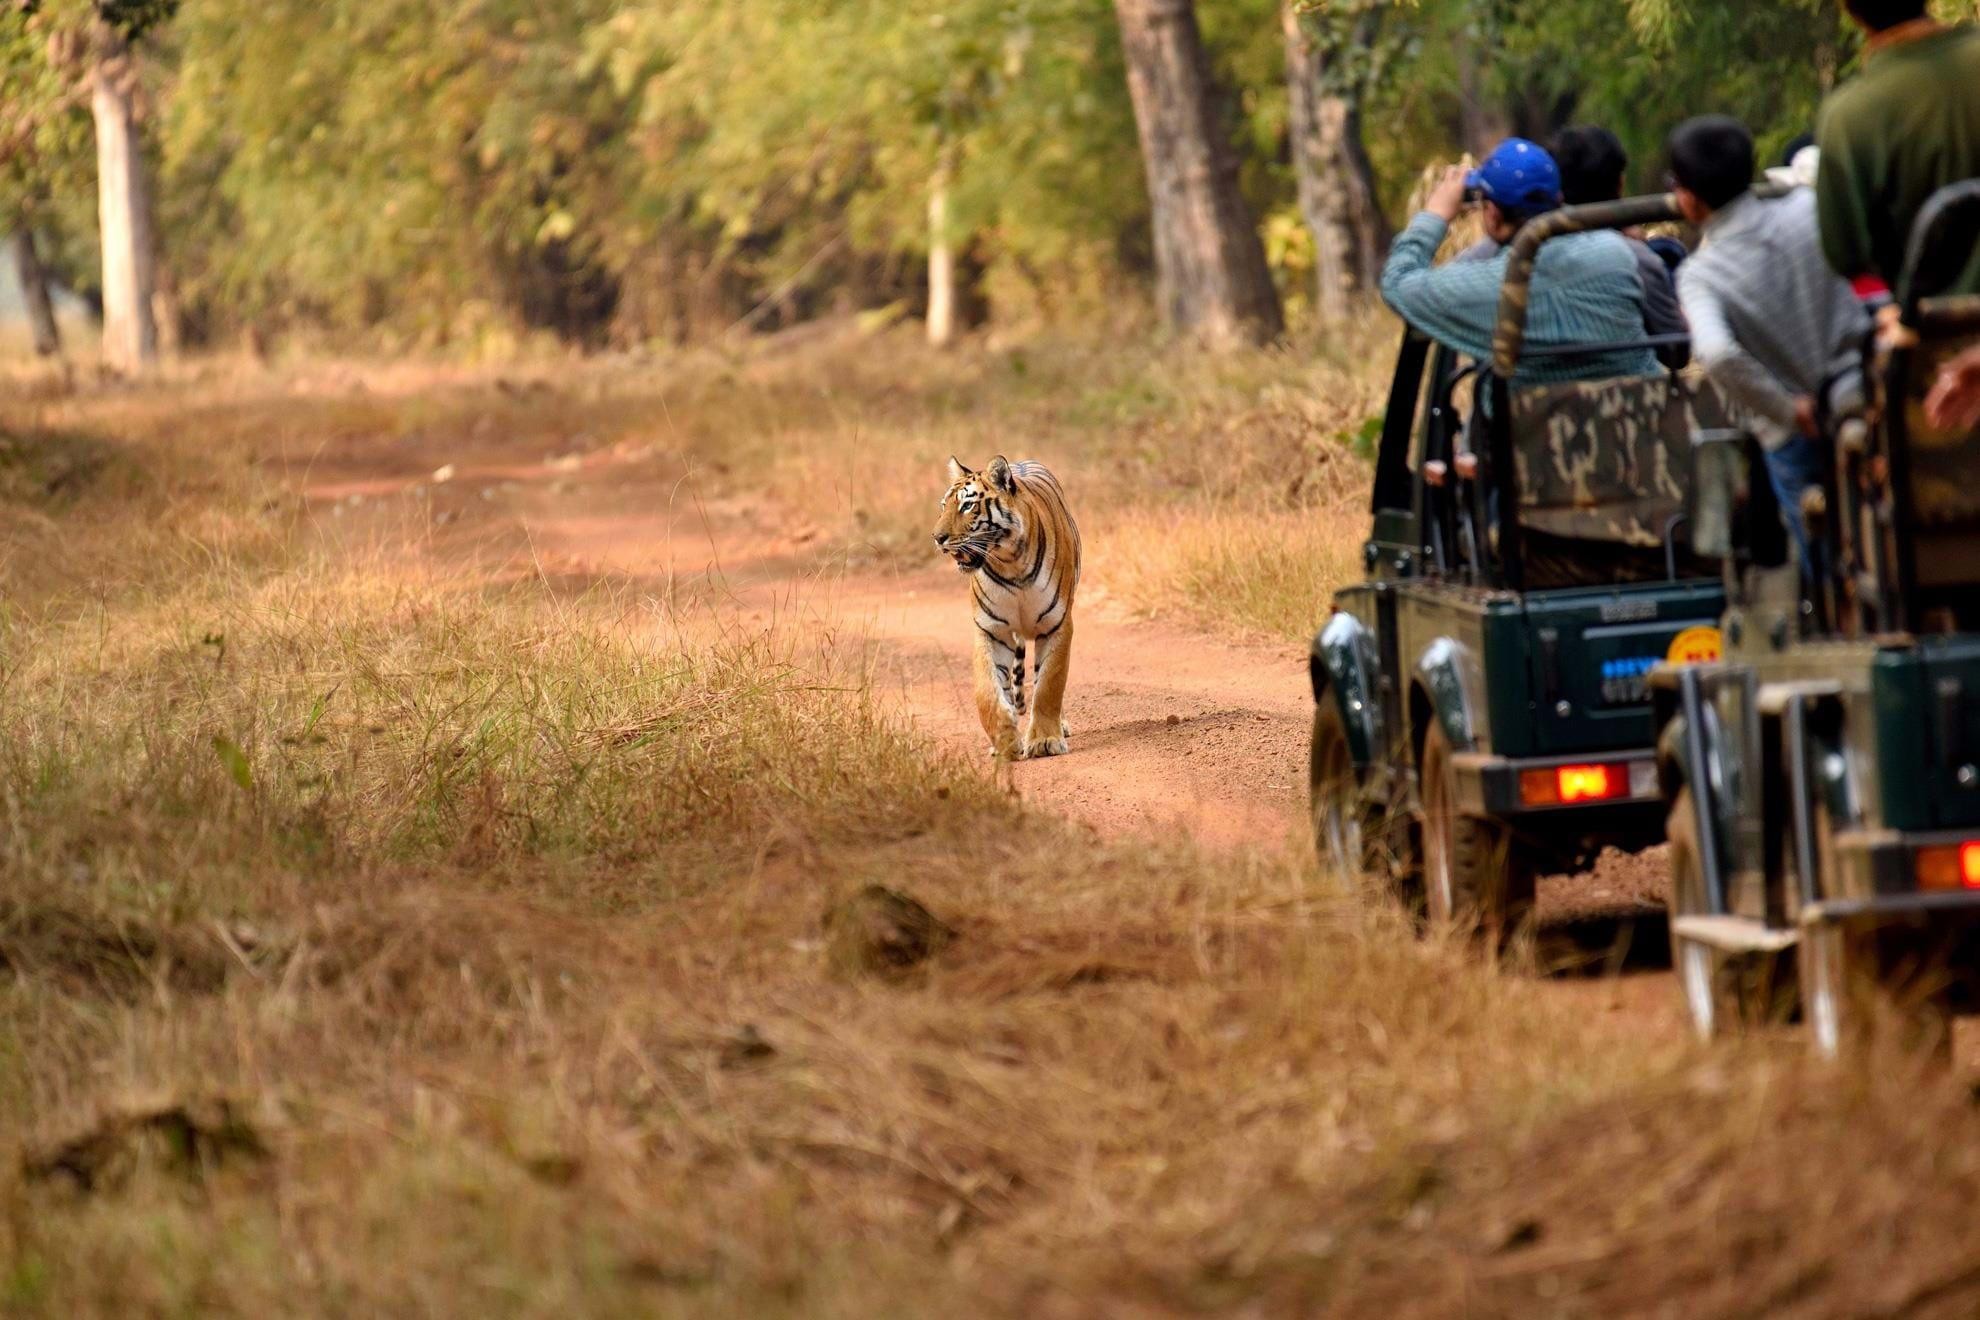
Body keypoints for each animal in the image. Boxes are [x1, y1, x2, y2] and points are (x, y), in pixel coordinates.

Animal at [932, 455, 1081, 761]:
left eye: (967, 506)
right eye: (944, 506)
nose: (937, 538)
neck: (1010, 561)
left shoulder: (1057, 624)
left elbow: (1049, 685)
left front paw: (1045, 741)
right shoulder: (991, 631)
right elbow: (987, 692)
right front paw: (1005, 742)